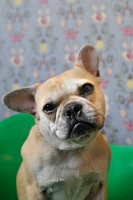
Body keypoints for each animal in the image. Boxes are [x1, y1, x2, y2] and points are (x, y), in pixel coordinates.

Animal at [2, 44, 111, 200]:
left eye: (87, 88)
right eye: (48, 107)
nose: (72, 108)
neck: (73, 150)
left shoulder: (100, 186)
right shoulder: (35, 191)